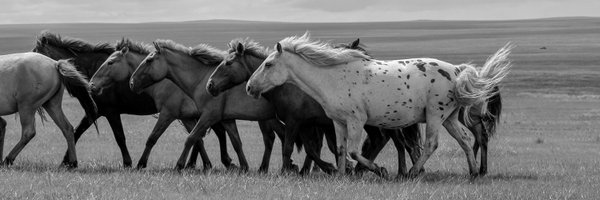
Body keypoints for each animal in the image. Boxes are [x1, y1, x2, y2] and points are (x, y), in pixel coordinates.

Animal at [31, 31, 234, 169]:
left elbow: (119, 137)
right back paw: (202, 164)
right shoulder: (96, 112)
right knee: (205, 135)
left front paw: (128, 163)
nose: (92, 86)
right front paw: (67, 161)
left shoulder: (109, 111)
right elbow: (77, 132)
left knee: (216, 132)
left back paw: (221, 162)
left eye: (36, 53)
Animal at [90, 38, 284, 170]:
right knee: (276, 137)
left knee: (273, 138)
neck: (199, 79)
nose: (92, 85)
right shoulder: (194, 118)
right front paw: (211, 165)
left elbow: (155, 138)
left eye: (110, 62)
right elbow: (203, 140)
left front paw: (142, 164)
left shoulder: (170, 114)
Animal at [206, 38, 422, 177]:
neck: (288, 86)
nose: (210, 85)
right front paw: (323, 169)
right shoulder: (307, 124)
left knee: (396, 142)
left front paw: (288, 171)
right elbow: (313, 149)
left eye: (228, 63)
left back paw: (399, 171)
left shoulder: (296, 122)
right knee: (388, 141)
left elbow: (291, 147)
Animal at [246, 33, 512, 178]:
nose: (249, 87)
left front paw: (379, 170)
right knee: (465, 140)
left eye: (268, 64)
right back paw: (474, 172)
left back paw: (412, 173)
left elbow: (355, 152)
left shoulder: (356, 121)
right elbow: (340, 150)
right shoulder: (338, 122)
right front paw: (340, 175)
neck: (333, 77)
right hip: (449, 118)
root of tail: (456, 70)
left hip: (435, 116)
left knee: (430, 144)